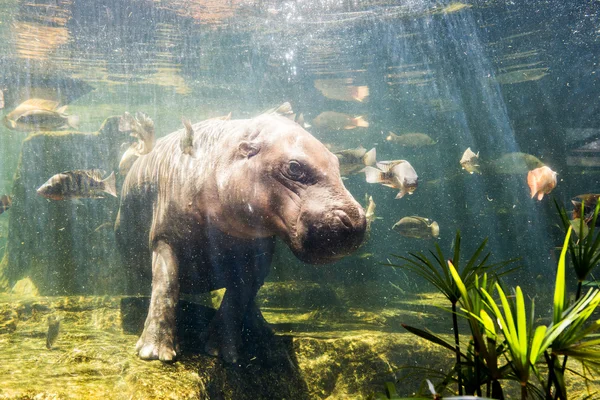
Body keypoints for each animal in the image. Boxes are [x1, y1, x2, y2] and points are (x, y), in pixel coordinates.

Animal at [113, 109, 366, 362]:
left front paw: (223, 352)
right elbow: (165, 287)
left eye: (336, 162)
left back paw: (265, 335)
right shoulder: (165, 237)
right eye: (294, 167)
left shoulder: (258, 251)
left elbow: (238, 295)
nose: (356, 222)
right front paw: (154, 353)